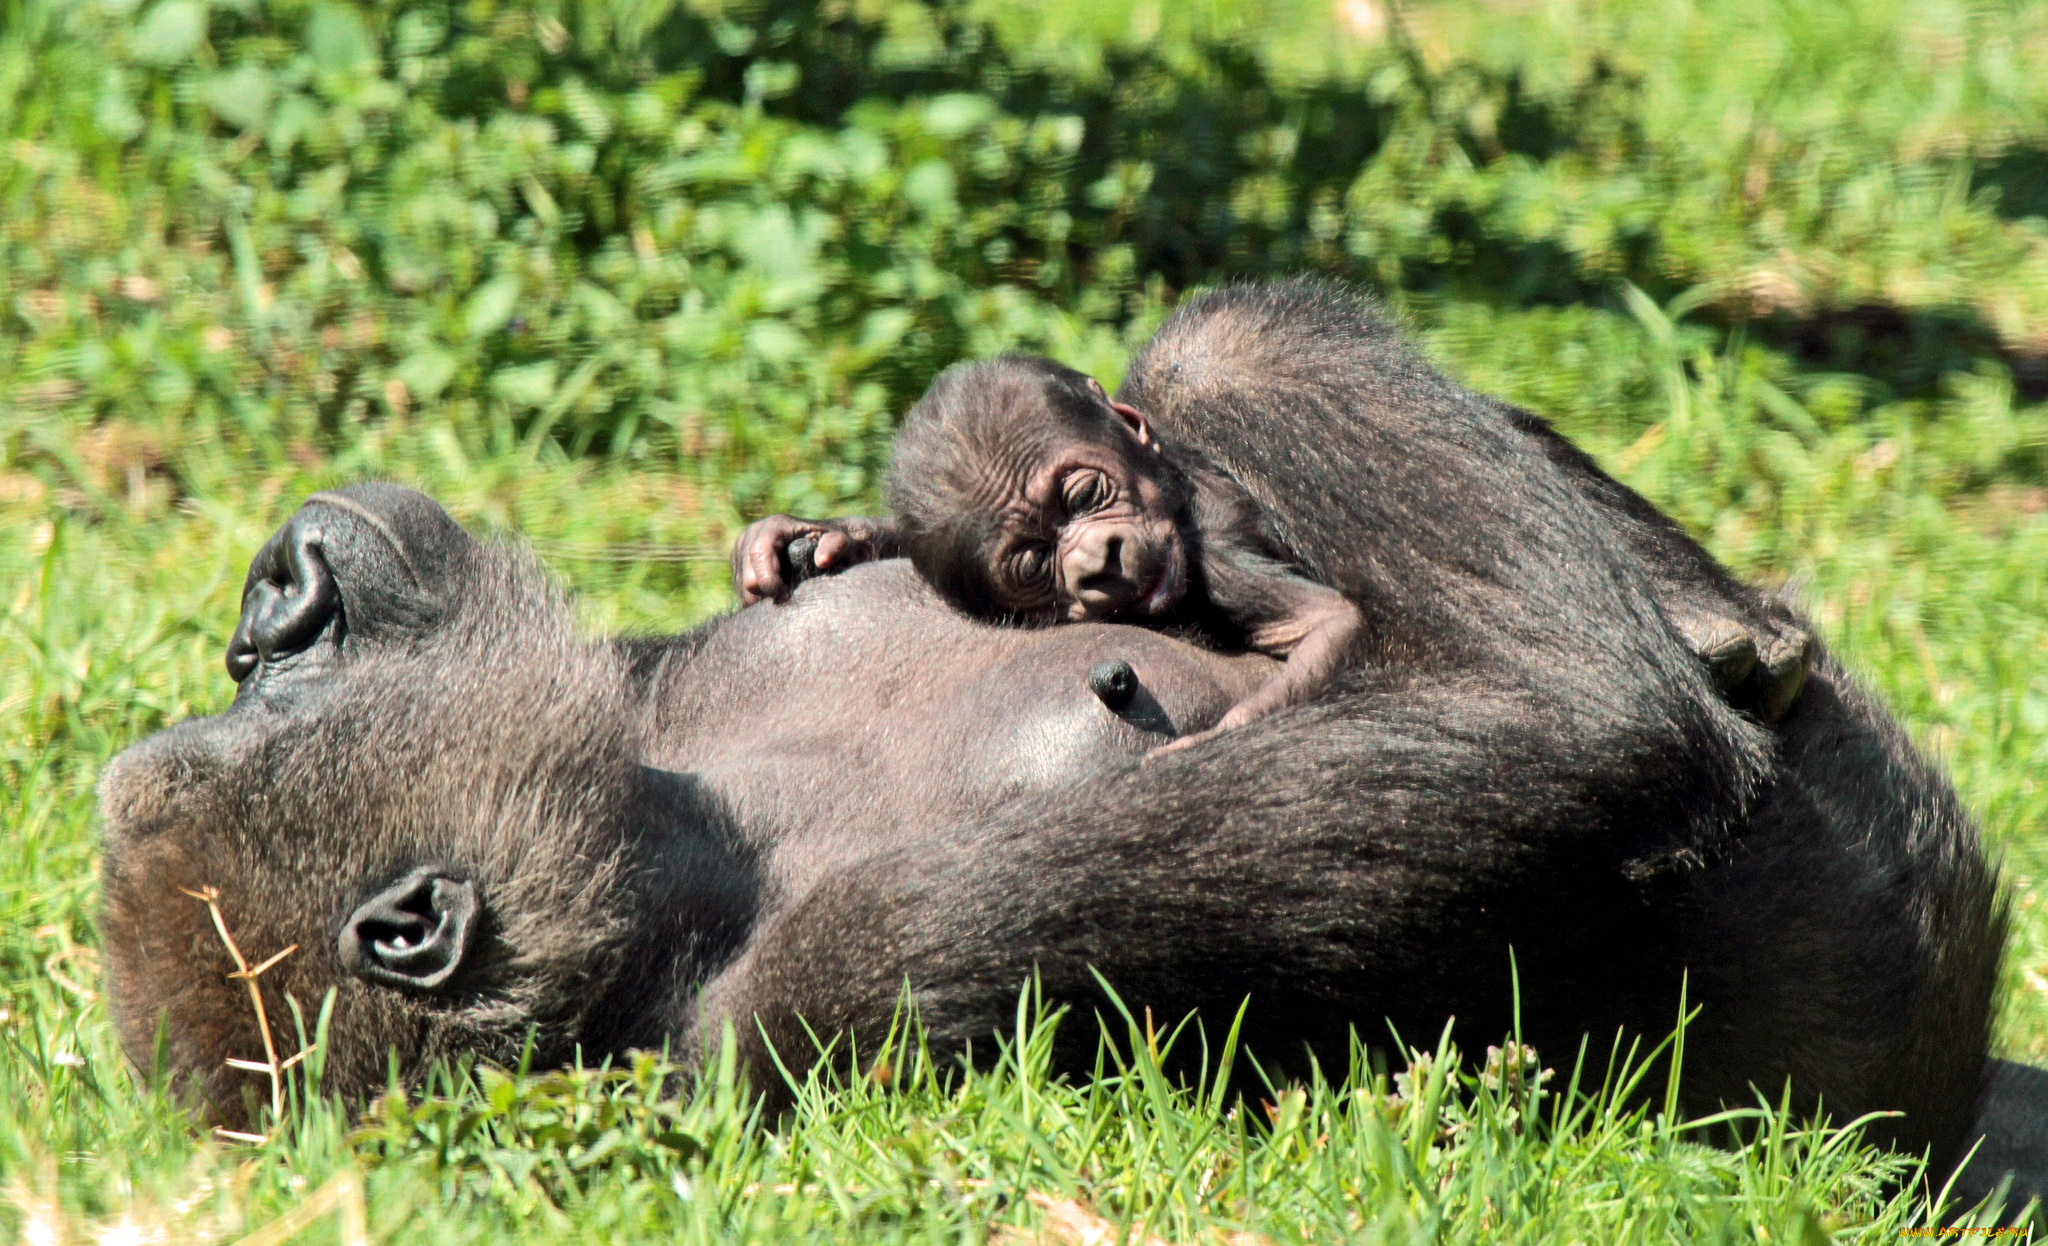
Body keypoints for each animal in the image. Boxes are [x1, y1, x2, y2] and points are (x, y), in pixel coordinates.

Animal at [737, 354, 1359, 754]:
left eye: (1082, 497)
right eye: (1036, 564)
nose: (1098, 562)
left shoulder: (1214, 551)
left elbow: (1325, 624)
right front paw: (826, 536)